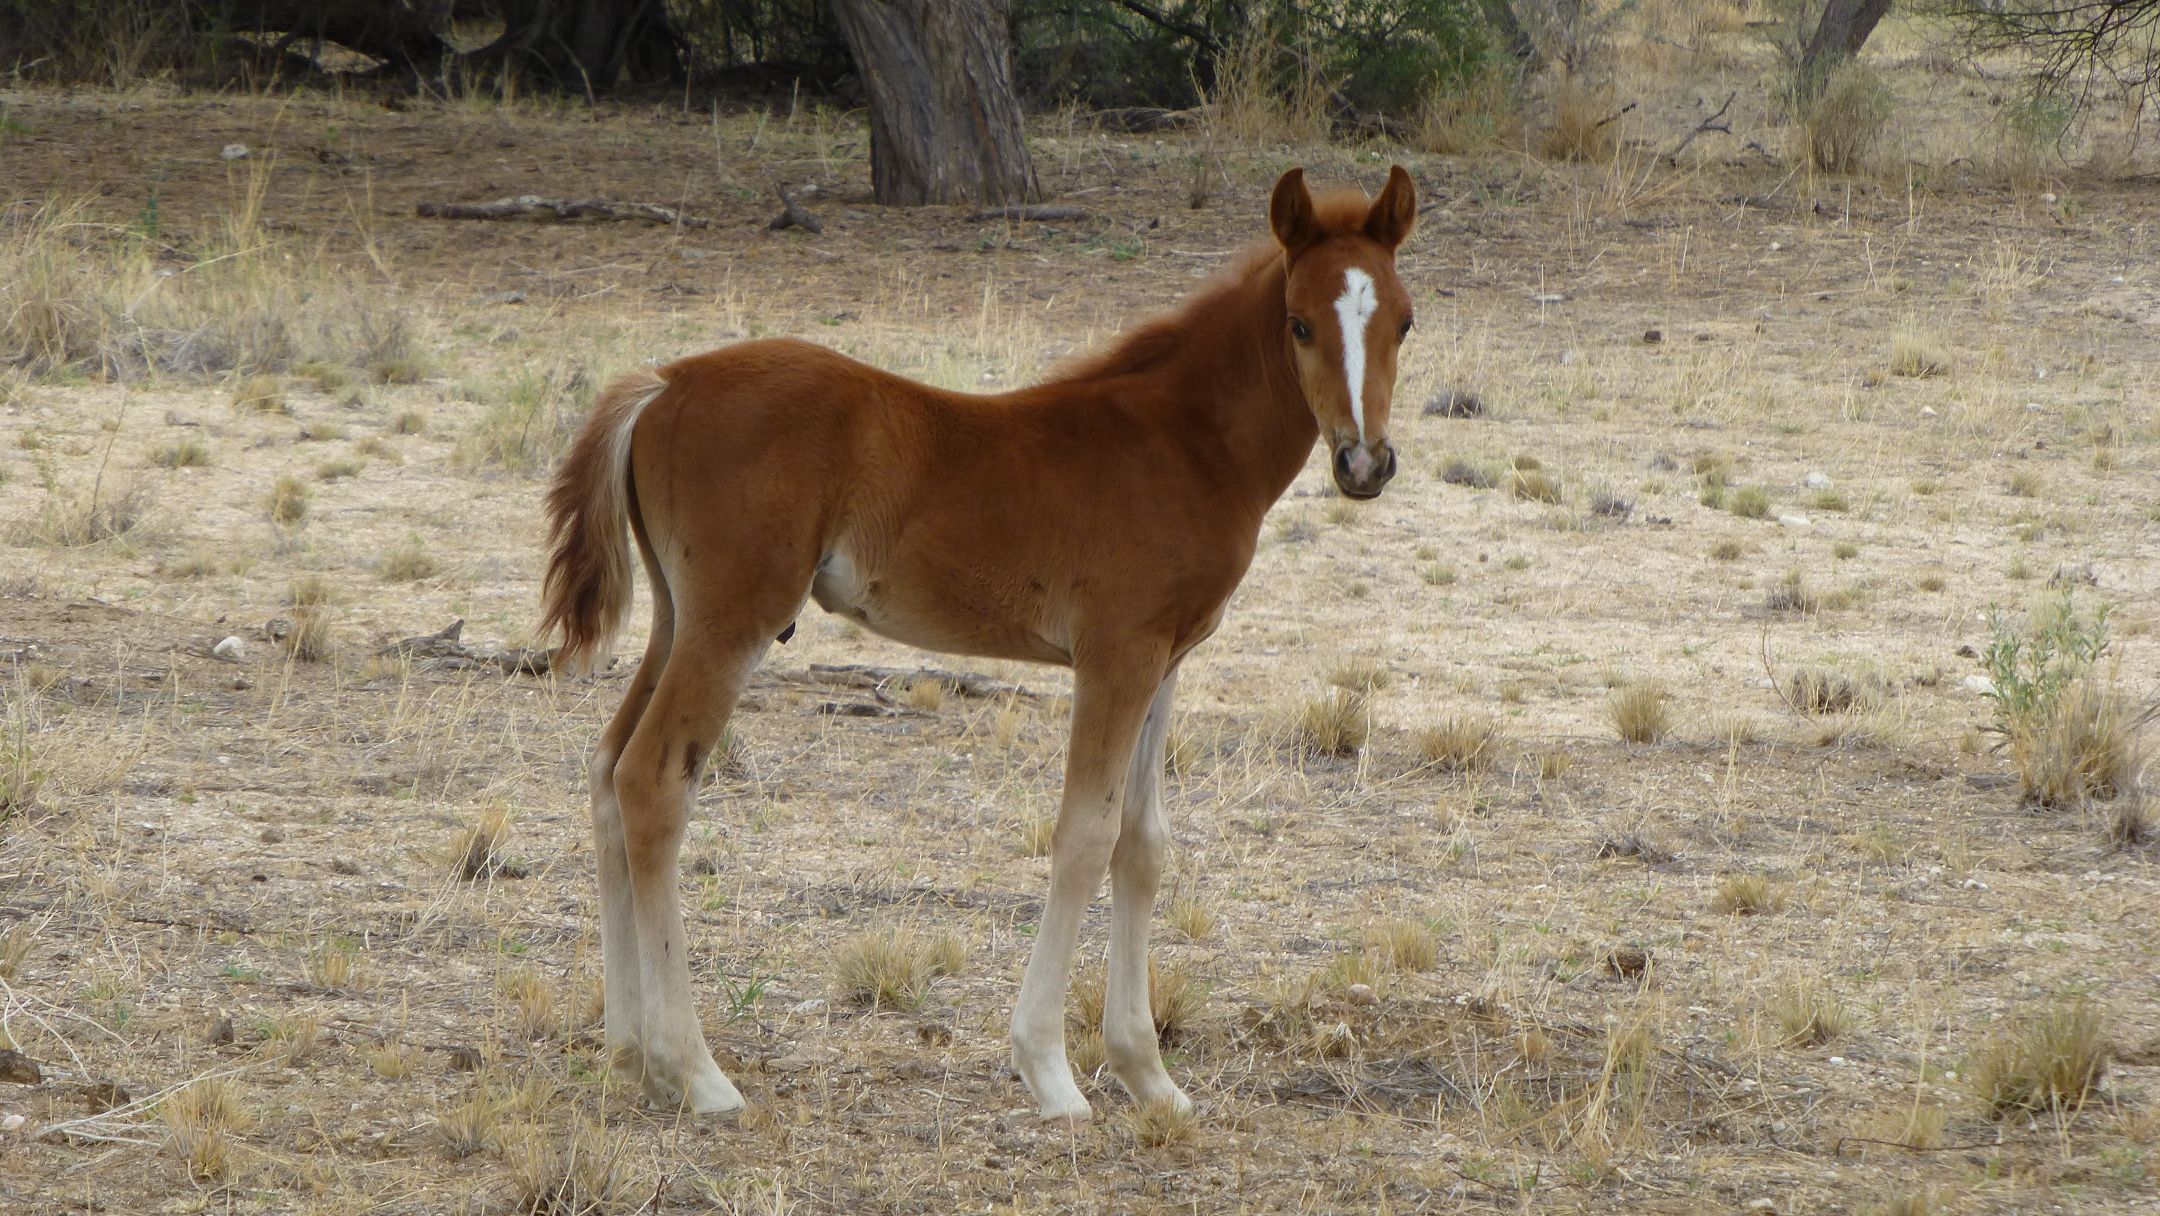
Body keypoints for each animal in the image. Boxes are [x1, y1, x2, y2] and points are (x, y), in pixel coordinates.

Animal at [540, 166, 1416, 1131]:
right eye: (1299, 323)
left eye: (1404, 321)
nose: (1365, 463)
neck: (1184, 442)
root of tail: (662, 382)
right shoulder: (1116, 655)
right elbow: (1085, 835)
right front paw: (1052, 1073)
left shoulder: (1167, 660)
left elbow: (1143, 844)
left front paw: (1149, 1076)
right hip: (732, 619)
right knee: (653, 778)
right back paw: (695, 1071)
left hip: (675, 616)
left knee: (605, 767)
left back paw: (630, 1055)